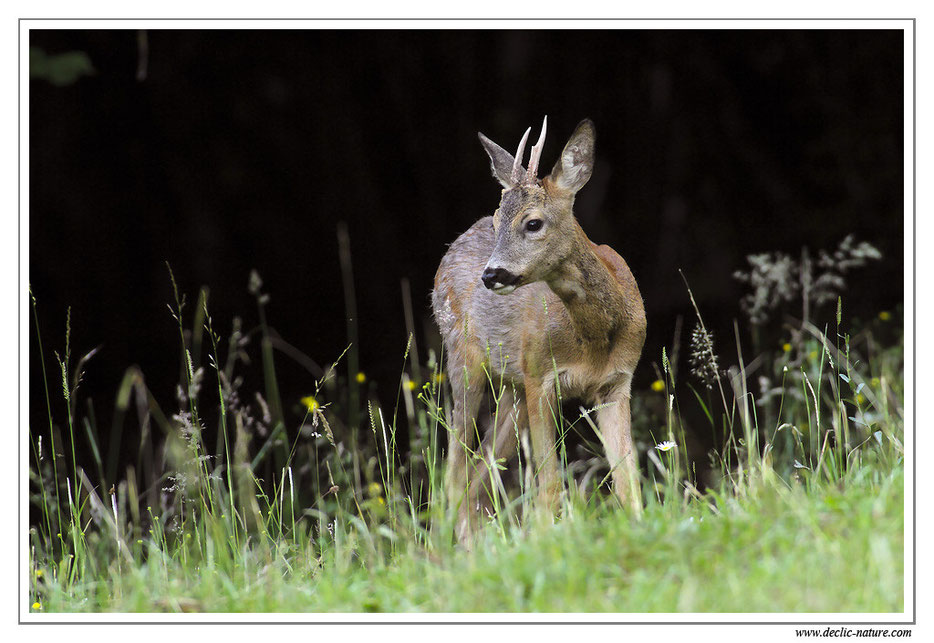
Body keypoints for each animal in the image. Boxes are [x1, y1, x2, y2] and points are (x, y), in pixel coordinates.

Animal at [434, 118, 648, 540]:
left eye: (533, 223)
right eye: (497, 222)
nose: (492, 274)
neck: (594, 338)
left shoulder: (618, 382)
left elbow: (627, 481)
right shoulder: (539, 376)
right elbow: (548, 484)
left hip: (512, 392)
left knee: (479, 471)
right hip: (464, 359)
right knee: (454, 472)